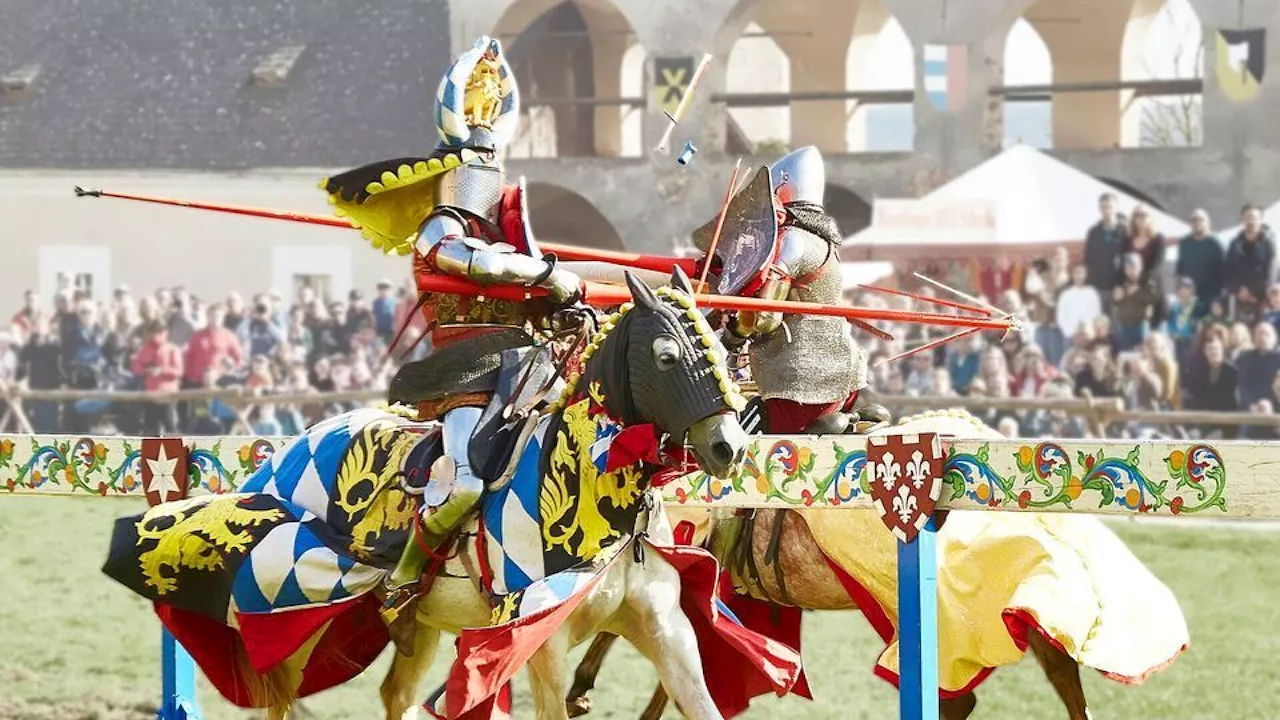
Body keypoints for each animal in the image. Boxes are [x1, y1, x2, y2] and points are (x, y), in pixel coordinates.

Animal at [104, 267, 783, 717]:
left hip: (416, 623)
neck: (591, 483)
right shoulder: (541, 638)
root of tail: (288, 451)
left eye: (719, 346)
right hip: (290, 612)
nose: (729, 447)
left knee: (394, 695)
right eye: (667, 356)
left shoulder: (666, 630)